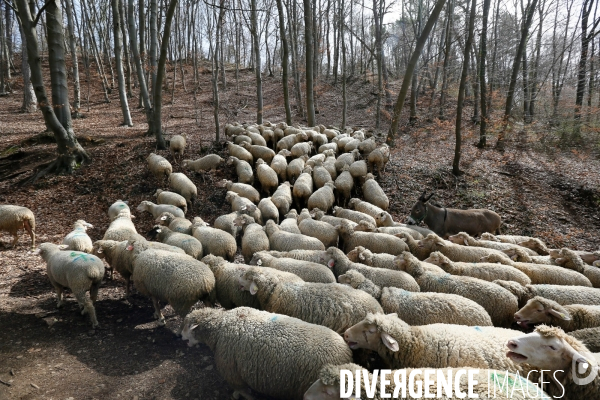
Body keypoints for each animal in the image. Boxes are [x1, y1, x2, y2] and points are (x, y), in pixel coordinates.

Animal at [180, 306, 354, 400]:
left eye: (187, 326)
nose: (180, 337)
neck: (220, 326)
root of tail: (345, 354)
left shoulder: (232, 371)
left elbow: (242, 390)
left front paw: (242, 396)